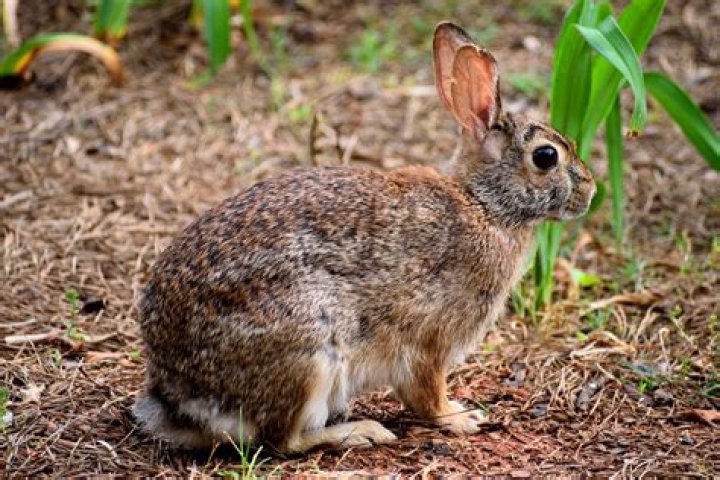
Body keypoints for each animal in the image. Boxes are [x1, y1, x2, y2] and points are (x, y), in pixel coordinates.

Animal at [133, 21, 596, 453]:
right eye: (546, 157)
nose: (590, 191)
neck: (484, 204)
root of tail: (180, 395)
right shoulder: (431, 339)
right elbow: (427, 392)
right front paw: (460, 418)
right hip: (312, 348)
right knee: (282, 440)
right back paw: (361, 431)